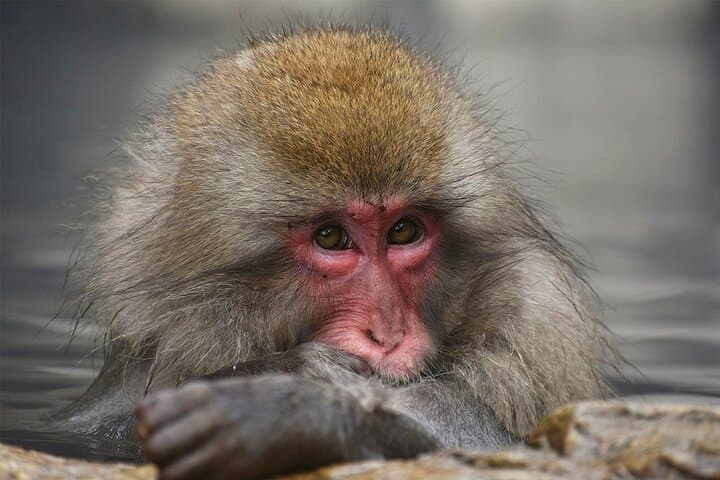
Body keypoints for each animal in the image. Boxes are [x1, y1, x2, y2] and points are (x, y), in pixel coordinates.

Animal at [58, 26, 615, 479]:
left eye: (404, 231)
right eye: (330, 238)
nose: (388, 335)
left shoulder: (531, 319)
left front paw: (295, 409)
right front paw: (289, 372)